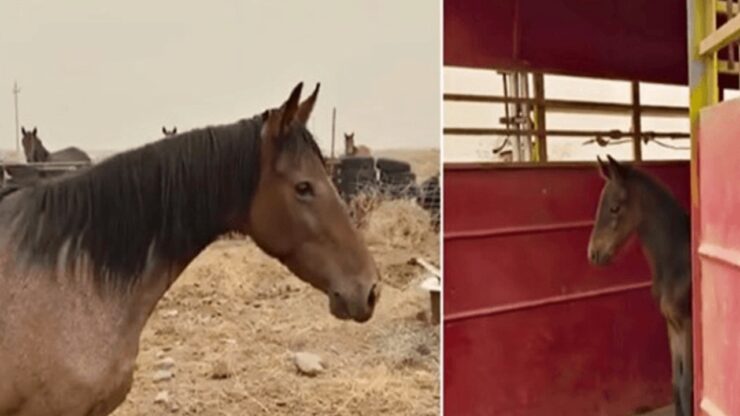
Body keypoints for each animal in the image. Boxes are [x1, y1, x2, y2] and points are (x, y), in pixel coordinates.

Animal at [588, 156, 692, 416]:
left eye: (615, 207)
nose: (593, 254)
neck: (676, 260)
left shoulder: (687, 322)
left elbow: (687, 384)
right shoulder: (672, 323)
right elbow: (676, 382)